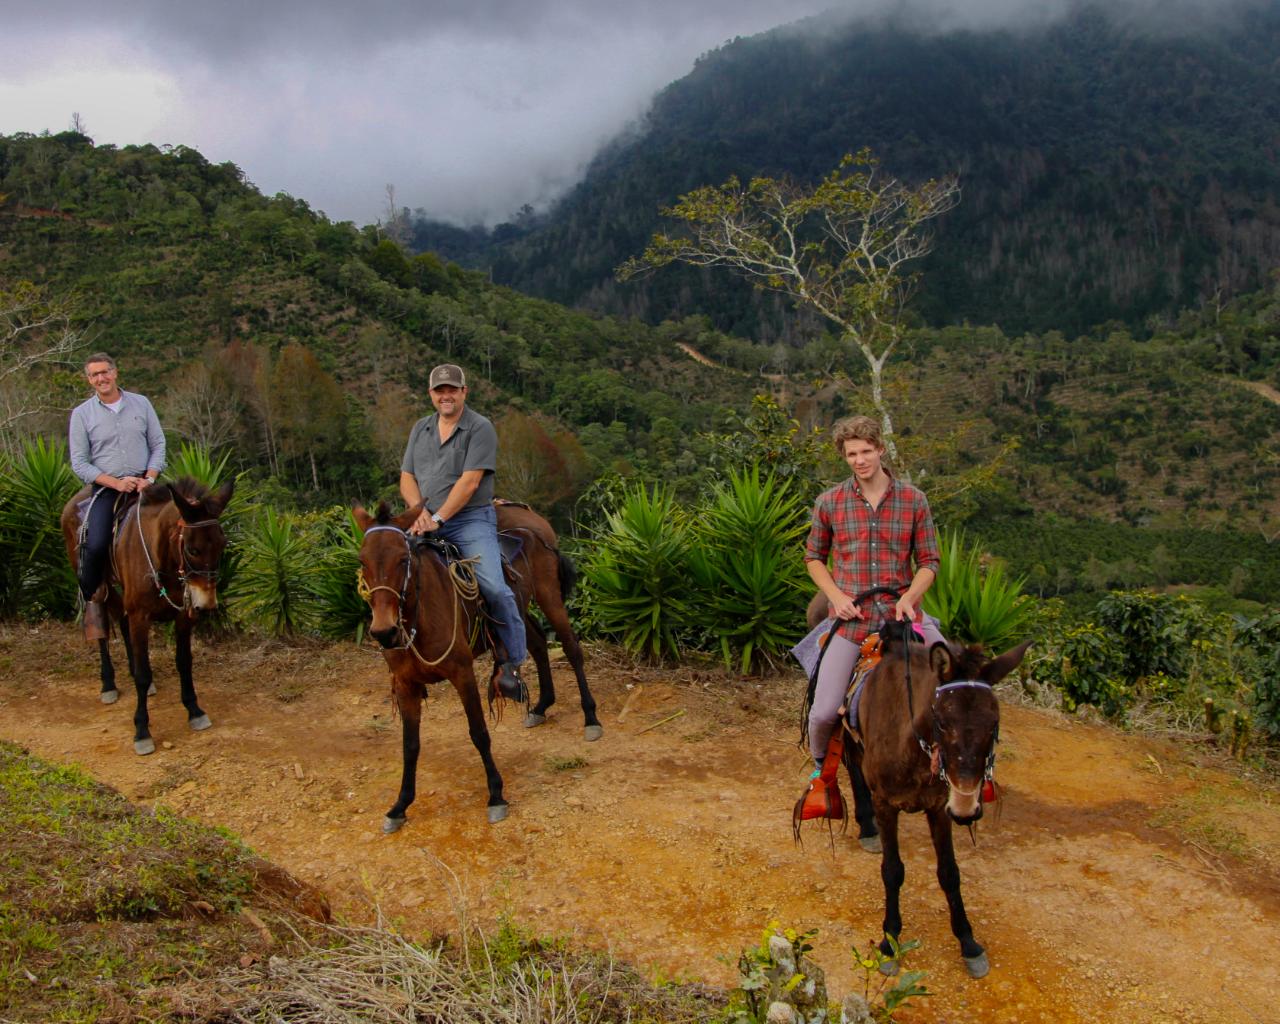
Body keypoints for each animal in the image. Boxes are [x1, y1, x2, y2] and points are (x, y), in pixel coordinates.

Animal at [61, 478, 235, 752]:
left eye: (222, 545)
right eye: (192, 550)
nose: (206, 606)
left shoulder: (183, 615)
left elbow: (184, 662)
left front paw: (194, 710)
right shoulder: (141, 616)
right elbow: (144, 674)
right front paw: (142, 730)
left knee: (121, 618)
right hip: (96, 581)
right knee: (102, 622)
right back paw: (108, 683)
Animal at [355, 501, 599, 829]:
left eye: (403, 559)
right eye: (362, 561)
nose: (384, 631)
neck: (419, 616)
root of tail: (534, 529)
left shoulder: (462, 674)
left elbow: (479, 733)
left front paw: (496, 795)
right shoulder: (406, 684)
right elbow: (410, 745)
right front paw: (400, 805)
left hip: (550, 597)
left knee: (571, 648)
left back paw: (591, 718)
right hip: (519, 606)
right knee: (535, 643)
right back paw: (540, 705)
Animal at [844, 619, 1034, 977]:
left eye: (994, 723)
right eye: (942, 721)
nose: (965, 808)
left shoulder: (939, 808)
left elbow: (949, 873)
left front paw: (969, 943)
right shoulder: (886, 805)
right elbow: (893, 870)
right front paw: (889, 942)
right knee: (852, 769)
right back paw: (866, 826)